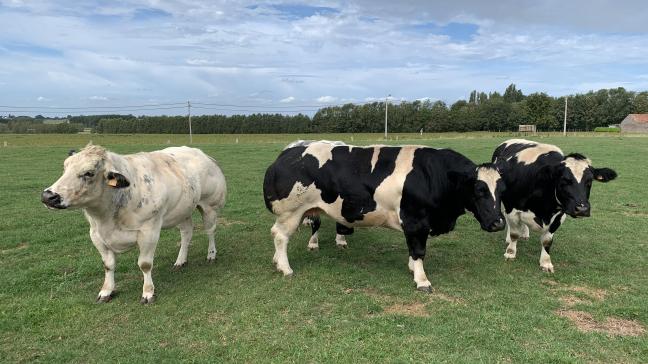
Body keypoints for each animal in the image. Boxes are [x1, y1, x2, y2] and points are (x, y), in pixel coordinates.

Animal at [41, 144, 225, 302]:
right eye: (65, 167)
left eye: (89, 173)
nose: (48, 196)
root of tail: (202, 154)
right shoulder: (96, 235)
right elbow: (108, 265)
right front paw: (106, 291)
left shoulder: (149, 231)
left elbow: (145, 264)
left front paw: (148, 293)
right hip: (183, 210)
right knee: (186, 233)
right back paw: (181, 260)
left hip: (209, 206)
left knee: (210, 231)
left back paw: (211, 255)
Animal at [264, 141, 506, 292]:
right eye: (479, 190)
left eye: (501, 190)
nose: (498, 223)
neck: (433, 175)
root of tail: (285, 155)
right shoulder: (416, 221)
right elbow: (419, 251)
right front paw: (422, 281)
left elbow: (412, 250)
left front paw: (412, 268)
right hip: (292, 212)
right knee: (280, 236)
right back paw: (285, 268)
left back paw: (276, 261)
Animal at [492, 139, 616, 272]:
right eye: (564, 180)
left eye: (589, 181)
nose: (582, 209)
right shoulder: (512, 208)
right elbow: (514, 234)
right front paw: (510, 253)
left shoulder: (559, 215)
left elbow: (547, 241)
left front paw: (546, 263)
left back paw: (525, 234)